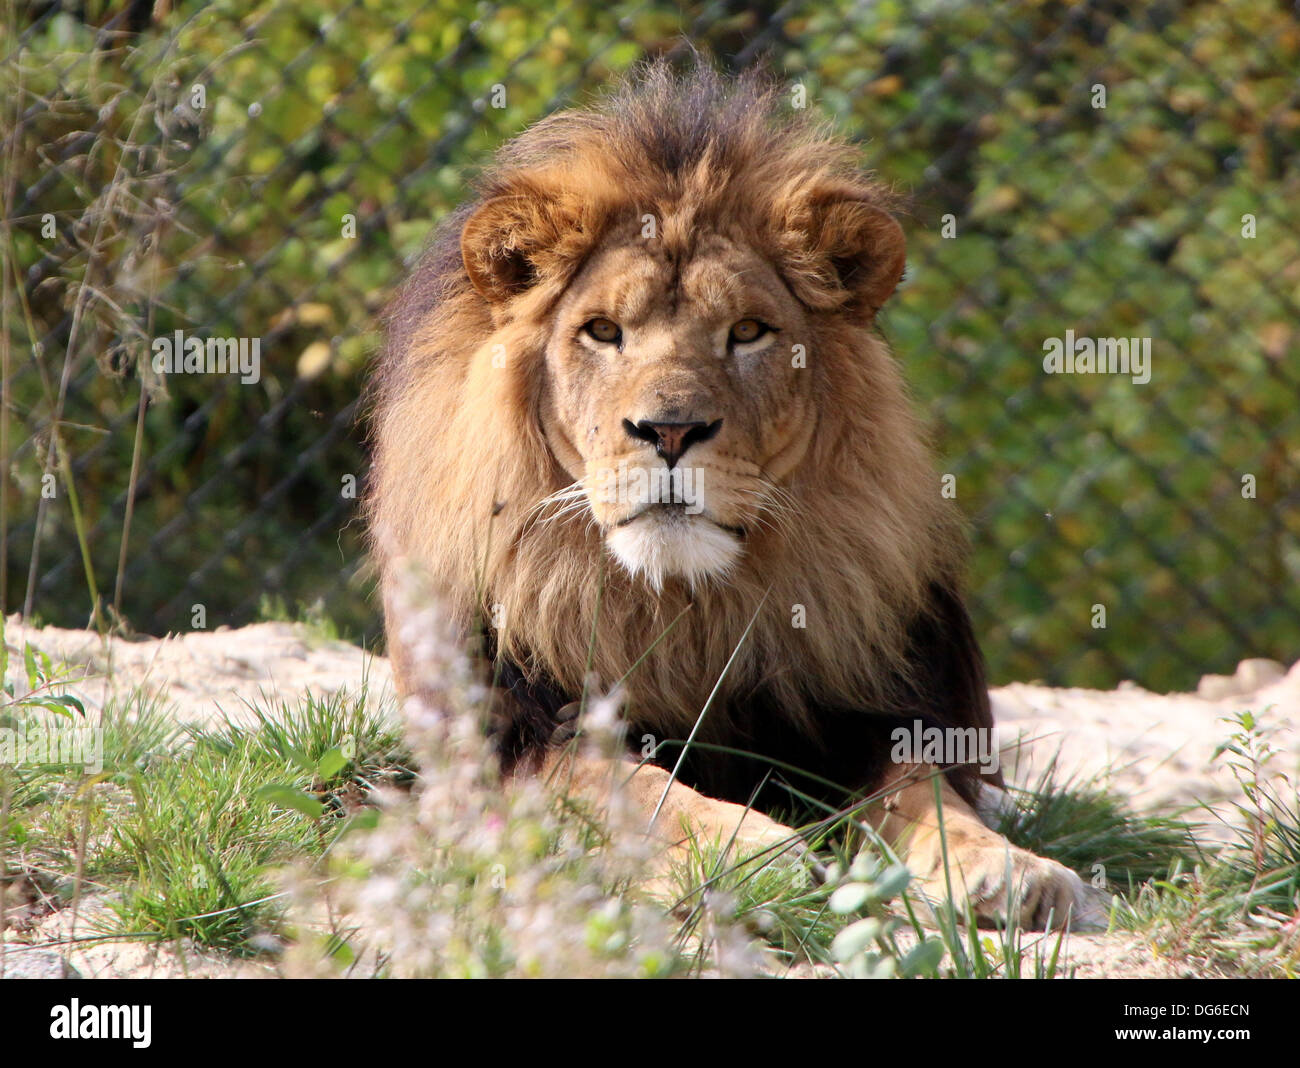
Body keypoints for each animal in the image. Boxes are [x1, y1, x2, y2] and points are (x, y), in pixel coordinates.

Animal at [369, 62, 1091, 930]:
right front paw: (748, 851)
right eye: (602, 331)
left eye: (748, 333)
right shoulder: (512, 738)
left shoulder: (870, 714)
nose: (670, 430)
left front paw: (1004, 867)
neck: (688, 604)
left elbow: (925, 794)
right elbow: (628, 788)